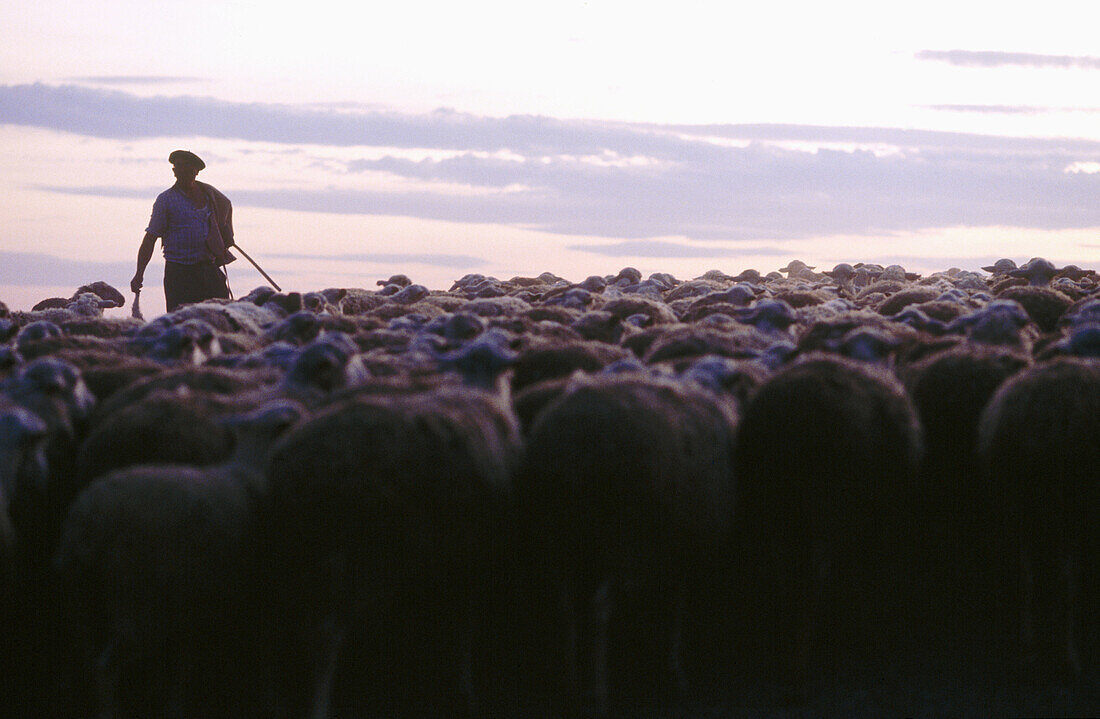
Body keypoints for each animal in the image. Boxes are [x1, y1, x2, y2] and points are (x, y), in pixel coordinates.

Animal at [514, 373, 739, 716]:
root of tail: (572, 446)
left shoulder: (676, 545)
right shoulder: (680, 546)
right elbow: (678, 605)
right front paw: (675, 668)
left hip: (558, 537)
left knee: (565, 607)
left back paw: (570, 685)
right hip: (623, 541)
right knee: (599, 608)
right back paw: (599, 693)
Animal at [734, 358, 924, 694]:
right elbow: (863, 574)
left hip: (774, 512)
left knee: (785, 573)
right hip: (829, 509)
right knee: (813, 577)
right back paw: (798, 673)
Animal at [981, 362, 1100, 686]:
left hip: (1019, 510)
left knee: (1025, 577)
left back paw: (1029, 648)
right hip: (1064, 510)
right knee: (1064, 584)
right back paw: (1068, 659)